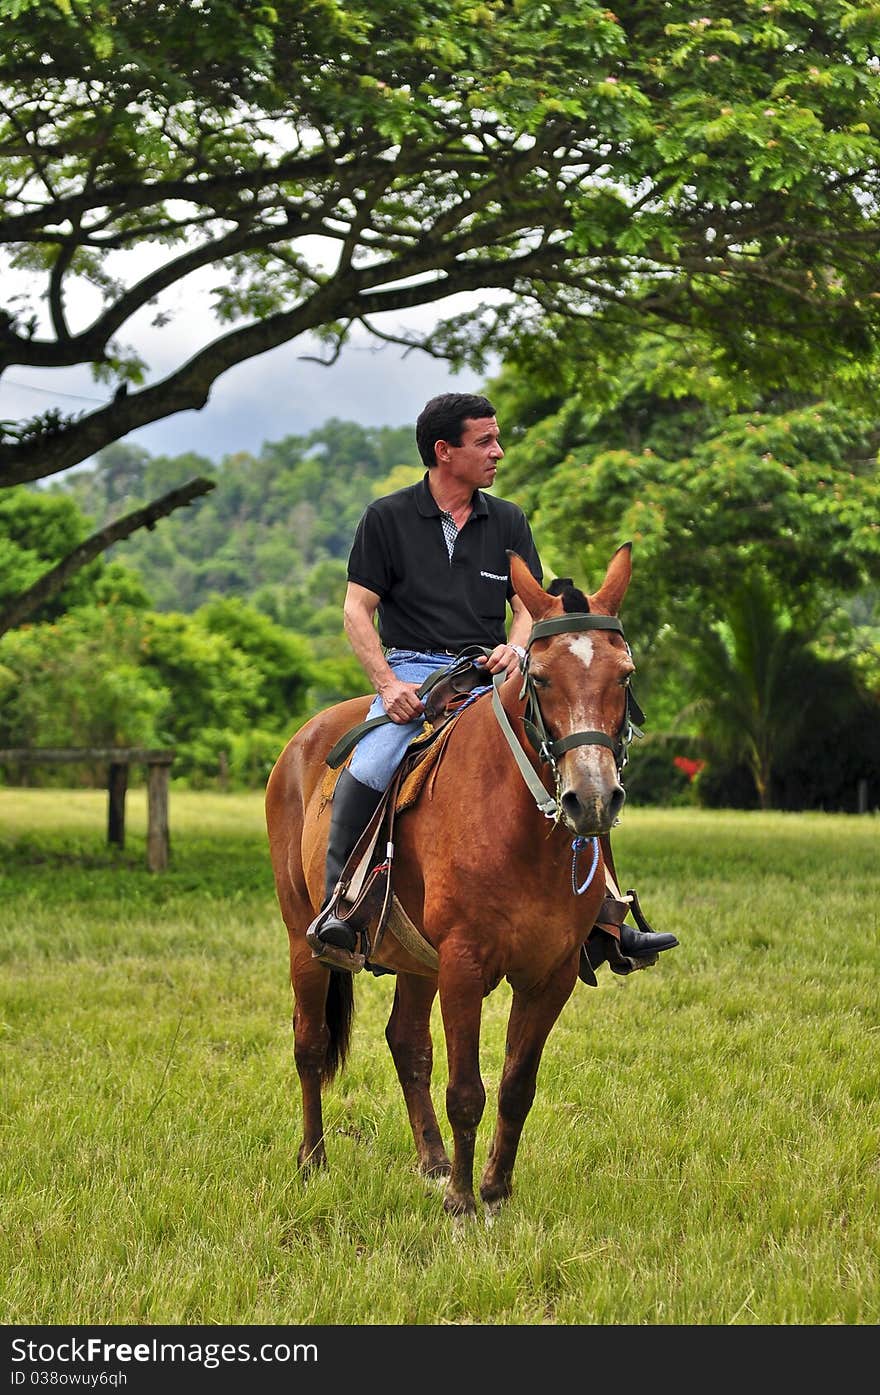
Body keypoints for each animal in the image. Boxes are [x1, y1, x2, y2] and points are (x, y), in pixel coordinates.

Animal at [266, 538, 641, 1216]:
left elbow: (517, 1086)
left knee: (406, 1042)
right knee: (310, 1042)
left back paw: (434, 1161)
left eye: (622, 675)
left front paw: (493, 1191)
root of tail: (300, 744)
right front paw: (464, 1206)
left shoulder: (549, 974)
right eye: (539, 679)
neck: (521, 832)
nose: (592, 799)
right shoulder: (464, 966)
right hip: (302, 939)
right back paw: (312, 1160)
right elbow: (467, 1090)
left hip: (416, 957)